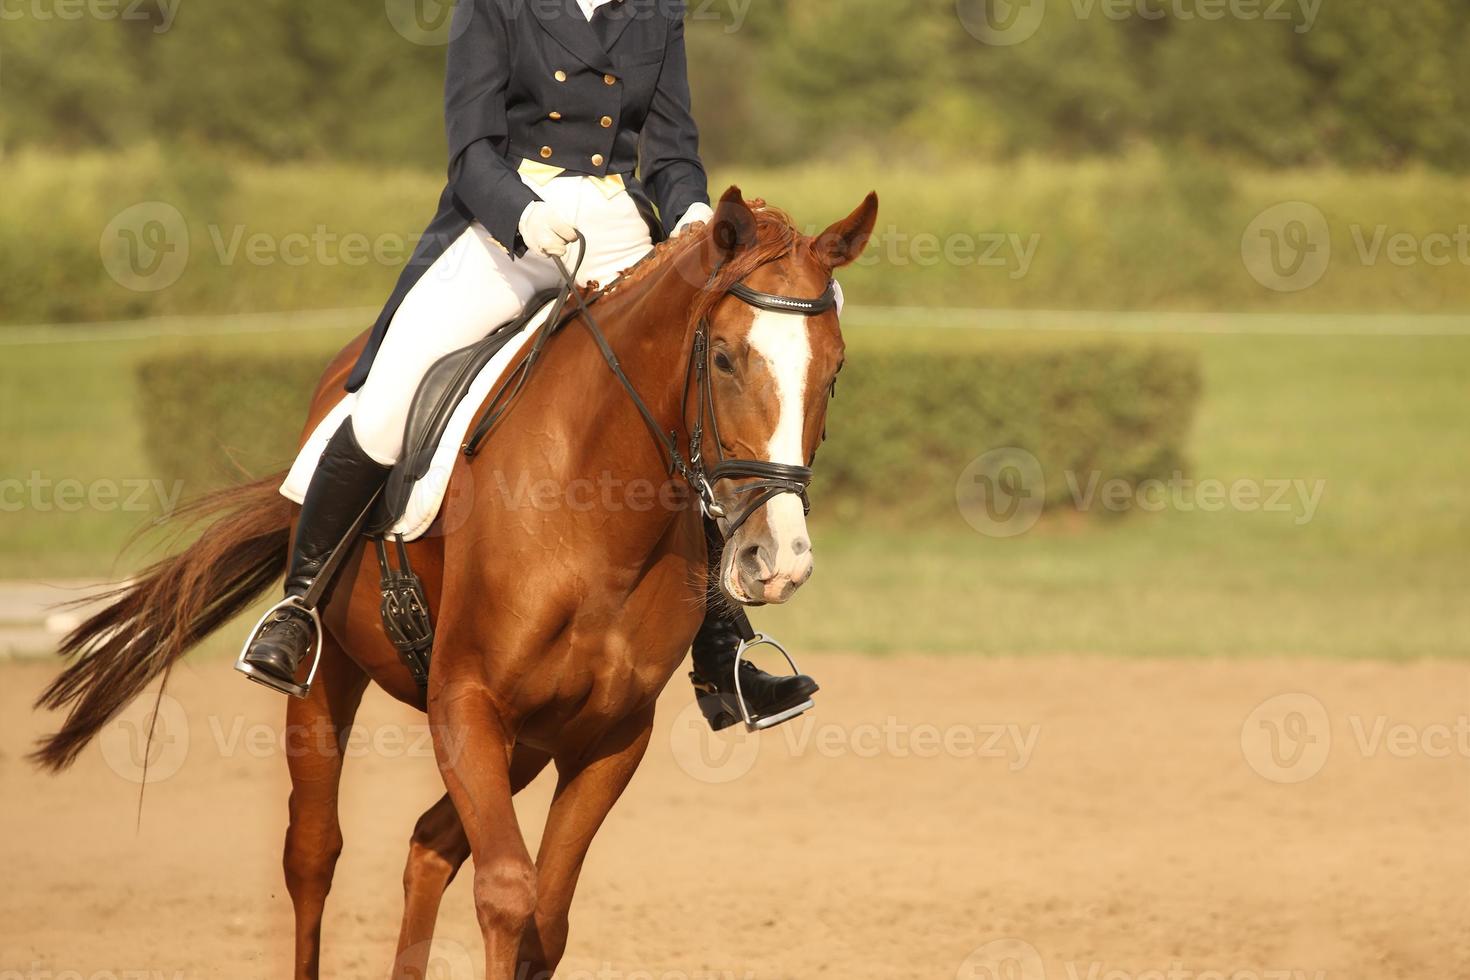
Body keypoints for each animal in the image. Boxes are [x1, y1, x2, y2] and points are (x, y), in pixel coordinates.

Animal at [31, 188, 870, 975]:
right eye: (724, 358)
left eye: (833, 372)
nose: (778, 561)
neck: (597, 505)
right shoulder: (465, 701)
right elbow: (506, 893)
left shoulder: (610, 733)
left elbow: (546, 919)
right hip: (333, 676)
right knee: (313, 855)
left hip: (531, 736)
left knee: (431, 843)